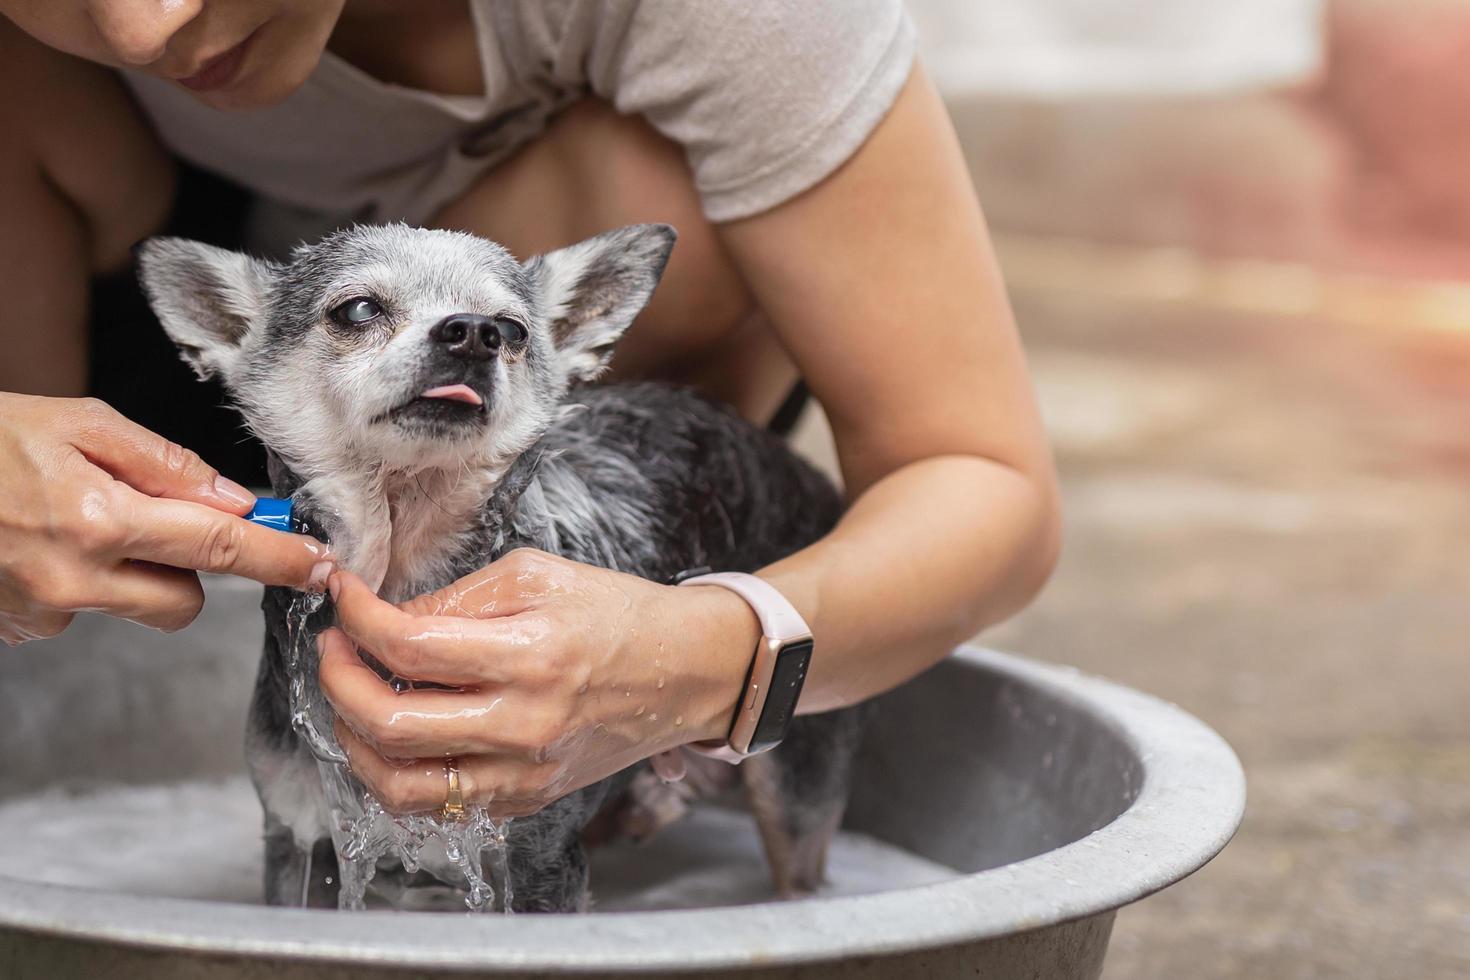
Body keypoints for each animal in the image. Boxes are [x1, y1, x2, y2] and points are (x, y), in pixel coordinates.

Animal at [136, 221, 858, 910]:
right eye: (359, 309)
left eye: (511, 330)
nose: (473, 333)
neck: (401, 565)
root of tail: (811, 477)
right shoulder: (298, 837)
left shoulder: (540, 858)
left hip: (793, 790)